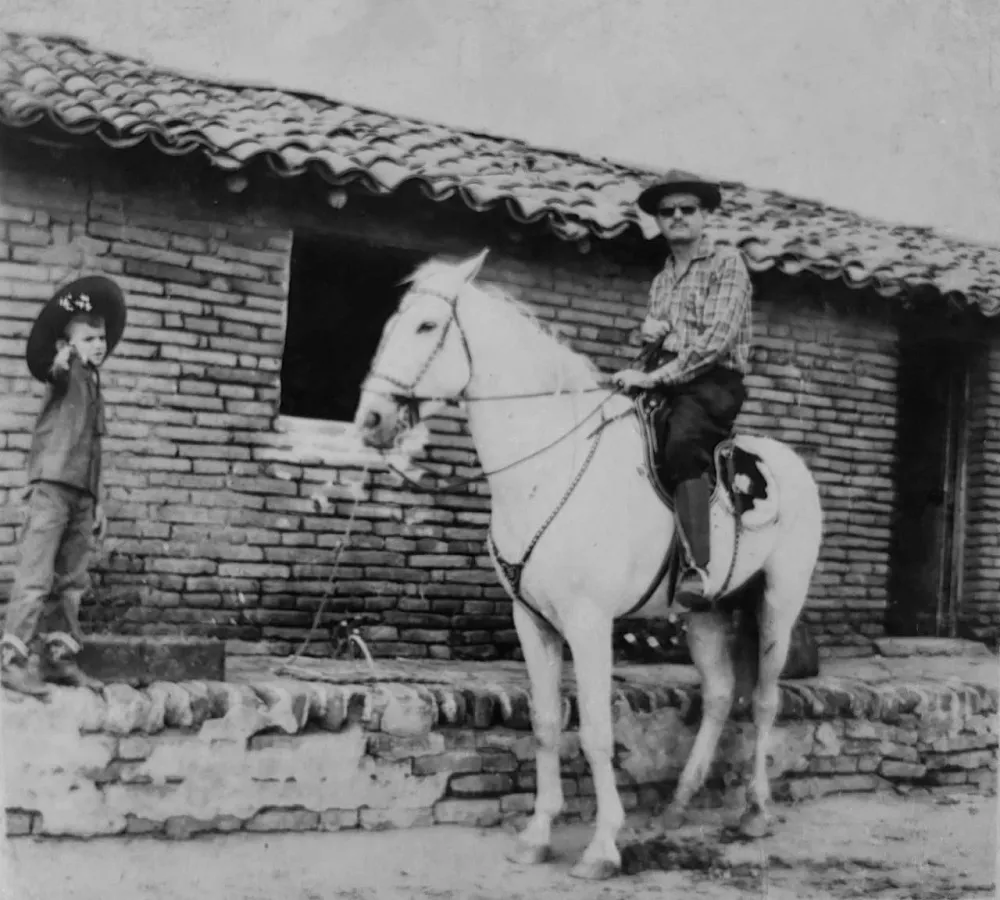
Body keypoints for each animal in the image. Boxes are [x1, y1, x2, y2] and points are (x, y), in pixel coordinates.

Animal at [353, 250, 824, 880]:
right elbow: (547, 723)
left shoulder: (589, 621)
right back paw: (678, 805)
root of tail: (788, 464)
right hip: (705, 612)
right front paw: (537, 834)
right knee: (722, 694)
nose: (371, 420)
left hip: (779, 602)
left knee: (768, 702)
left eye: (427, 326)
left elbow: (598, 732)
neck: (551, 464)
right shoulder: (533, 622)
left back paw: (754, 810)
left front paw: (603, 847)